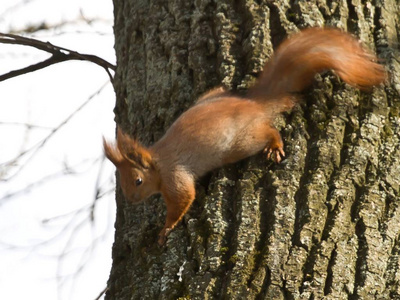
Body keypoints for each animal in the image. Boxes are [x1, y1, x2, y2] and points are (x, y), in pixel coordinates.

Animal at [102, 27, 384, 245]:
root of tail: (254, 104)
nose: (132, 200)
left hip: (242, 142)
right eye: (121, 181)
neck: (158, 162)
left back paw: (274, 145)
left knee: (269, 131)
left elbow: (183, 199)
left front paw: (165, 229)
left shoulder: (175, 176)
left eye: (137, 181)